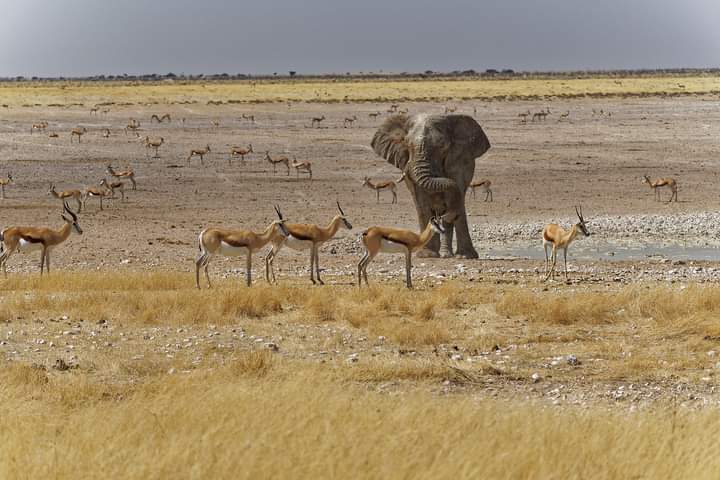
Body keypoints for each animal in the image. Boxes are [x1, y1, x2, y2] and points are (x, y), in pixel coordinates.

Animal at [372, 114, 490, 258]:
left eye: (442, 147)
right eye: (407, 144)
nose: (448, 215)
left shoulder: (460, 160)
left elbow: (458, 194)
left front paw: (465, 257)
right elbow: (422, 202)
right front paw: (426, 255)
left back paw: (450, 254)